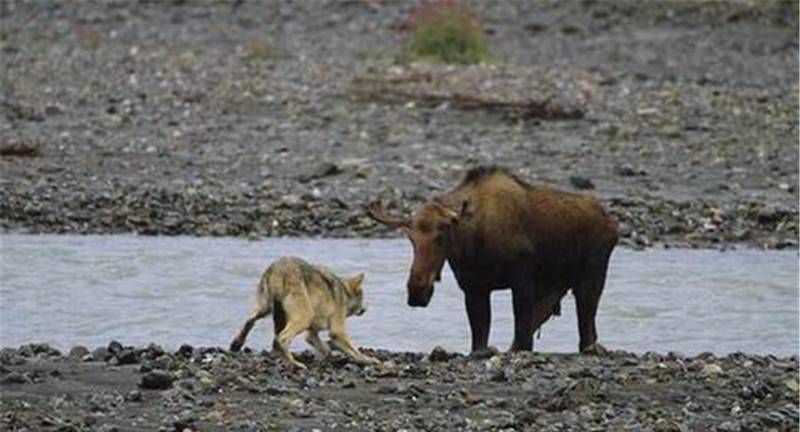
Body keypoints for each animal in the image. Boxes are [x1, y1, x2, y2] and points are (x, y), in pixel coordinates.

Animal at [228, 256, 382, 368]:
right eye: (362, 298)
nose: (364, 309)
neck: (344, 292)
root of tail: (278, 270)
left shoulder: (312, 332)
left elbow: (325, 348)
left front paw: (321, 358)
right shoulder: (337, 330)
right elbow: (353, 349)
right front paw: (369, 360)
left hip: (265, 309)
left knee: (250, 320)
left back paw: (236, 344)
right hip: (303, 318)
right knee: (281, 339)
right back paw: (295, 364)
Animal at [368, 166, 620, 354]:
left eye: (440, 236)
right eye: (410, 238)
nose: (417, 290)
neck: (472, 246)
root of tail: (612, 225)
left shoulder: (521, 280)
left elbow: (523, 337)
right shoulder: (473, 287)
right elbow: (480, 340)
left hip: (591, 279)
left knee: (586, 334)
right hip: (556, 285)